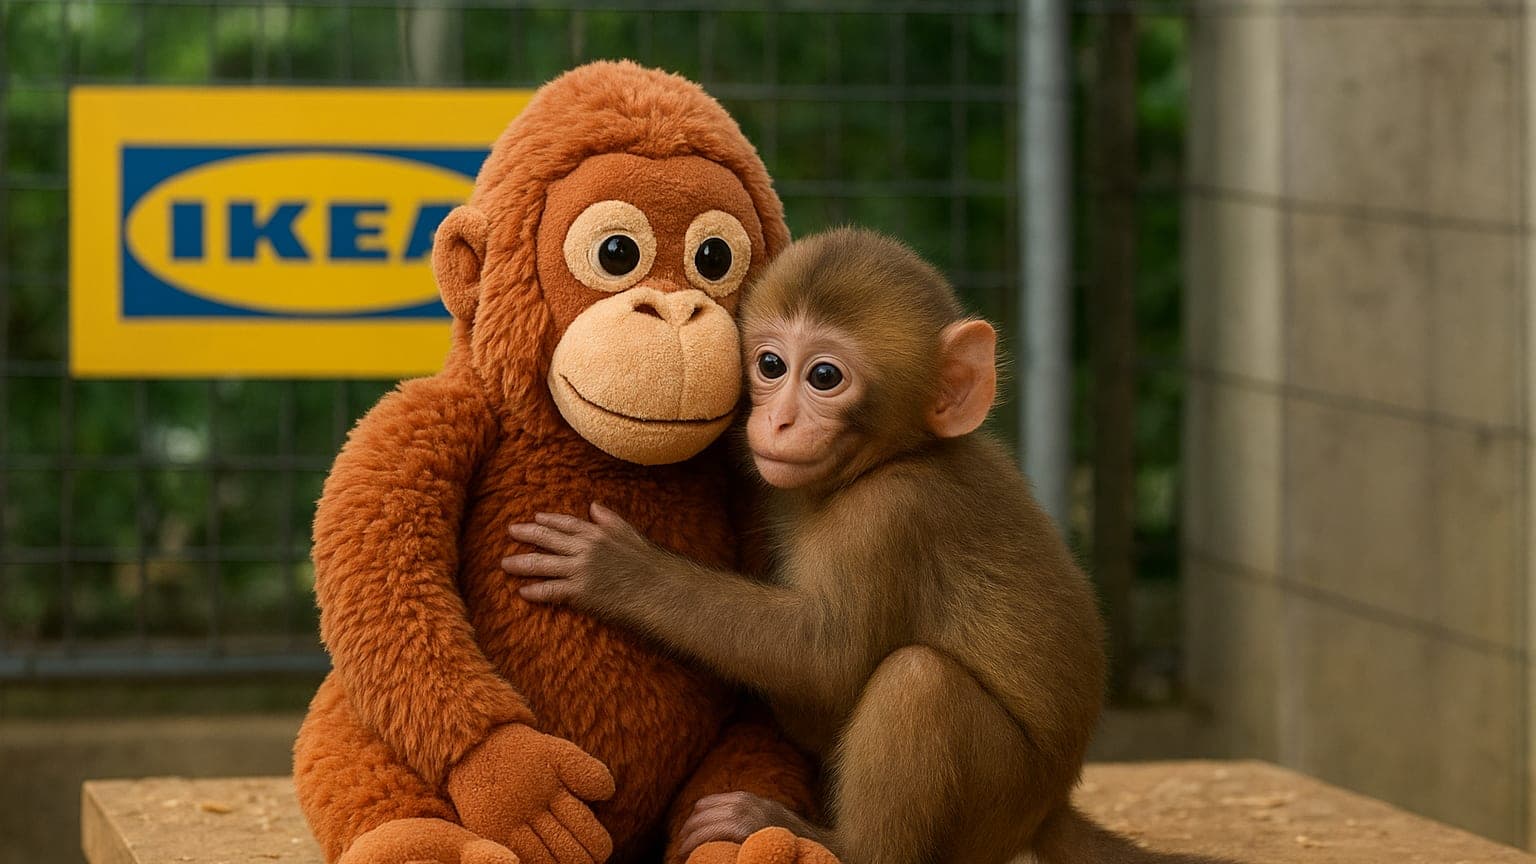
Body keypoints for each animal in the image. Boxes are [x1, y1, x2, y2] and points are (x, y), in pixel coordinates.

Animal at [502, 227, 1209, 864]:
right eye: (770, 365)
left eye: (823, 375)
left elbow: (826, 656)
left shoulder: (891, 516)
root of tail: (1048, 809)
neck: (885, 462)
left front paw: (619, 571)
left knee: (919, 681)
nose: (778, 421)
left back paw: (832, 840)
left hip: (999, 800)